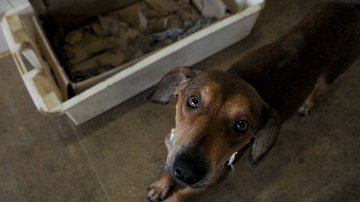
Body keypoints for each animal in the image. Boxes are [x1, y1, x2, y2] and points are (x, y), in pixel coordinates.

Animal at [146, 3, 360, 202]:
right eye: (193, 100)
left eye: (242, 125)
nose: (186, 171)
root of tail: (352, 6)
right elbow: (167, 170)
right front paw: (161, 186)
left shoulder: (211, 181)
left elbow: (183, 195)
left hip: (332, 73)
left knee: (319, 86)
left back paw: (308, 103)